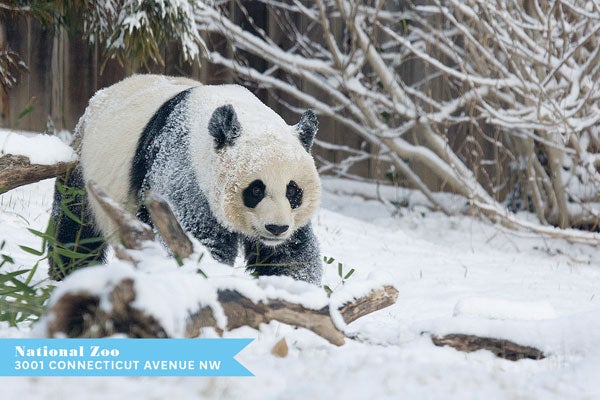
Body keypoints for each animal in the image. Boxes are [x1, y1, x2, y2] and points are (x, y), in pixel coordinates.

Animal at [50, 74, 324, 284]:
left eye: (293, 191)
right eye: (256, 190)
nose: (276, 228)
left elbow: (291, 255)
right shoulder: (182, 169)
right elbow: (191, 239)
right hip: (84, 170)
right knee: (76, 231)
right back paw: (70, 274)